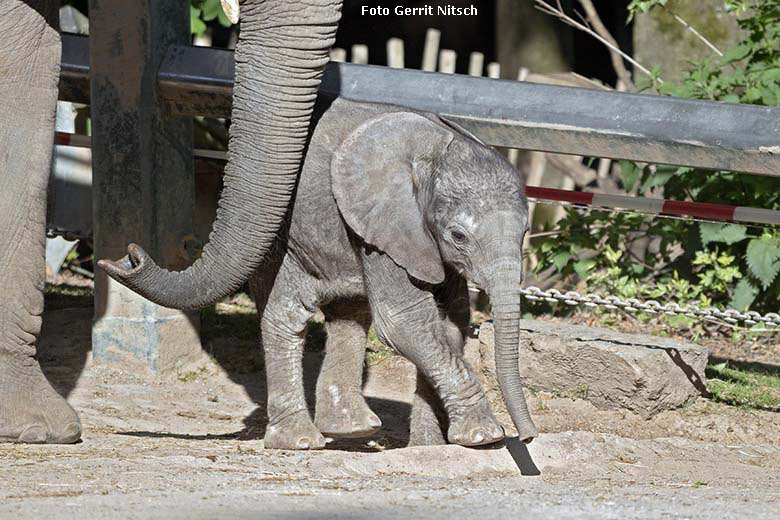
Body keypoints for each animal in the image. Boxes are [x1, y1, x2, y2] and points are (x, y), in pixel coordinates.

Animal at [250, 98, 536, 450]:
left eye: (525, 232)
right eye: (458, 236)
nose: (528, 437)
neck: (433, 157)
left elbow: (450, 321)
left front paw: (429, 447)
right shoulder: (388, 226)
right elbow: (404, 320)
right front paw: (485, 436)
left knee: (349, 309)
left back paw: (352, 428)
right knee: (289, 311)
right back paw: (302, 440)